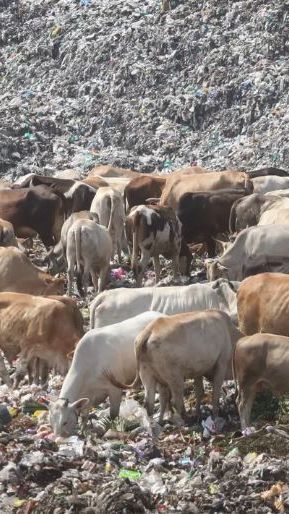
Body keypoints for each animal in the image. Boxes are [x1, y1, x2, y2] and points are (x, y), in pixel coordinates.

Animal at [106, 308, 241, 420]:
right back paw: (186, 419)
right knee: (177, 400)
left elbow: (199, 392)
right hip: (175, 377)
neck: (231, 335)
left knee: (151, 402)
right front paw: (215, 415)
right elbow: (215, 394)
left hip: (147, 374)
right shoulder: (221, 364)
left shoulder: (198, 371)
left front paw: (198, 412)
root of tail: (149, 331)